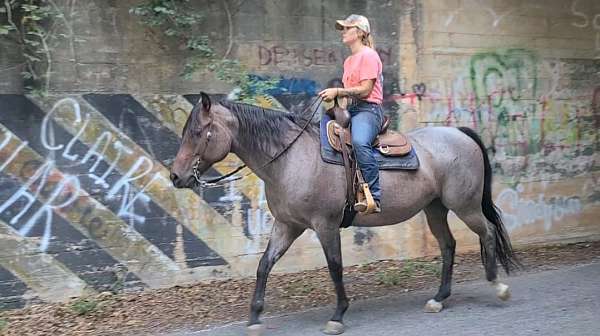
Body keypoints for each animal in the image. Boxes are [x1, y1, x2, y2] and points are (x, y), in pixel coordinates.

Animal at [171, 92, 516, 336]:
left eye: (199, 132)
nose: (176, 176)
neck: (290, 159)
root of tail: (460, 133)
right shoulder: (287, 225)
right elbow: (264, 266)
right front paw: (255, 317)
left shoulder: (325, 225)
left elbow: (335, 267)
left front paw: (338, 315)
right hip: (435, 208)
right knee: (448, 245)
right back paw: (439, 297)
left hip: (465, 205)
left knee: (487, 232)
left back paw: (497, 286)